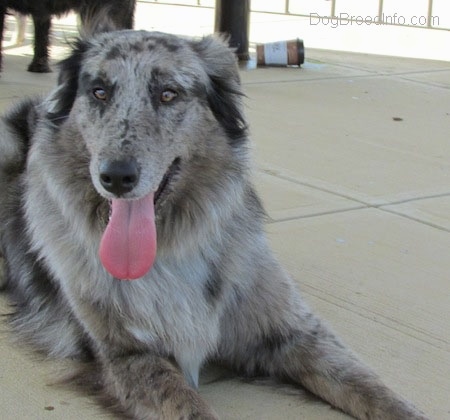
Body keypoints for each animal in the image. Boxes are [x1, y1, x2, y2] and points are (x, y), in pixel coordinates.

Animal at [0, 27, 428, 418]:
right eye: (100, 92)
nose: (116, 177)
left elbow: (376, 391)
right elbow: (190, 407)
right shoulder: (127, 355)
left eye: (168, 93)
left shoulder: (292, 331)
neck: (168, 253)